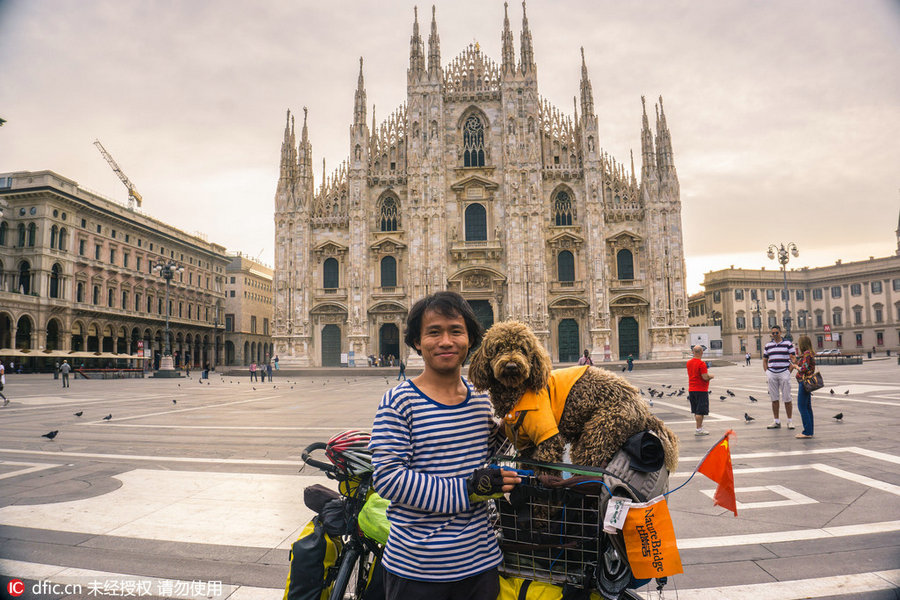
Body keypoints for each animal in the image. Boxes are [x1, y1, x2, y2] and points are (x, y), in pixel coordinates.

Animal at [468, 322, 680, 472]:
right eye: (498, 348)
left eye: (523, 349)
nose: (512, 366)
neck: (517, 391)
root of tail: (644, 410)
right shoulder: (527, 446)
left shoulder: (549, 442)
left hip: (603, 428)